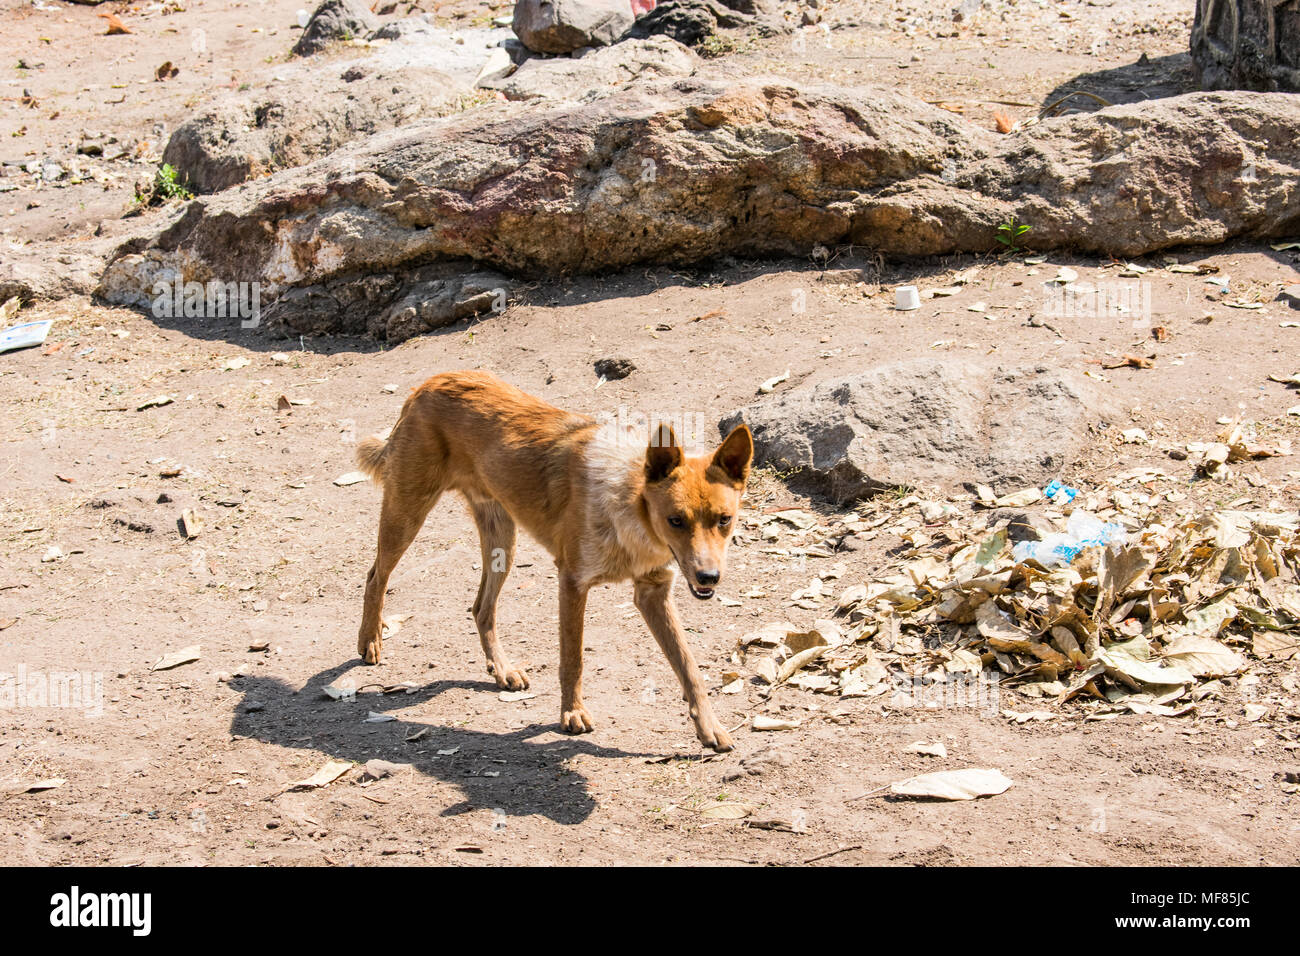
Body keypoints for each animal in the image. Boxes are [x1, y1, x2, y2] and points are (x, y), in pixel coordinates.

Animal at [353, 374, 754, 754]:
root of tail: (428, 384)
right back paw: (370, 640)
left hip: (502, 544)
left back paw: (502, 670)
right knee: (375, 576)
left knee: (481, 608)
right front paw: (571, 713)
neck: (630, 505)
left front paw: (710, 727)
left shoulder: (653, 592)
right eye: (675, 521)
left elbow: (689, 668)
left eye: (724, 520)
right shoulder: (573, 582)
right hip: (407, 514)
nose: (709, 577)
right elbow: (572, 659)